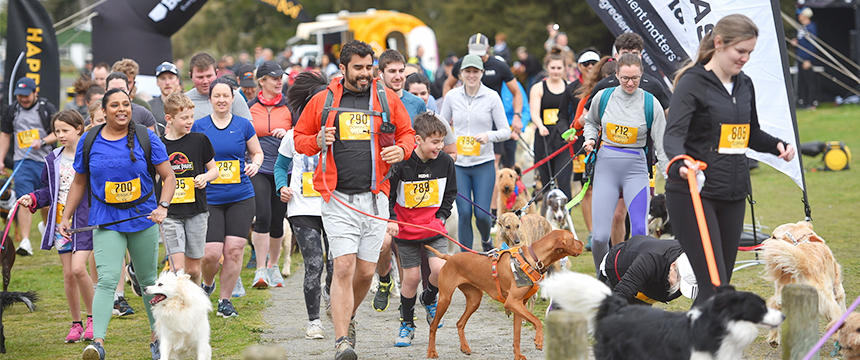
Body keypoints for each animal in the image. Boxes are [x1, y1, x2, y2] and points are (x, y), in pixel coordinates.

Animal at [424, 229, 584, 358]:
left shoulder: (519, 305)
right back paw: (432, 352)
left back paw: (465, 348)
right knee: (433, 326)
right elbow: (537, 321)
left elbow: (517, 336)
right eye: (572, 238)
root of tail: (450, 258)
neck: (533, 259)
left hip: (474, 299)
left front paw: (518, 355)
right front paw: (538, 341)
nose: (582, 243)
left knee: (460, 323)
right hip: (445, 299)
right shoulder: (512, 302)